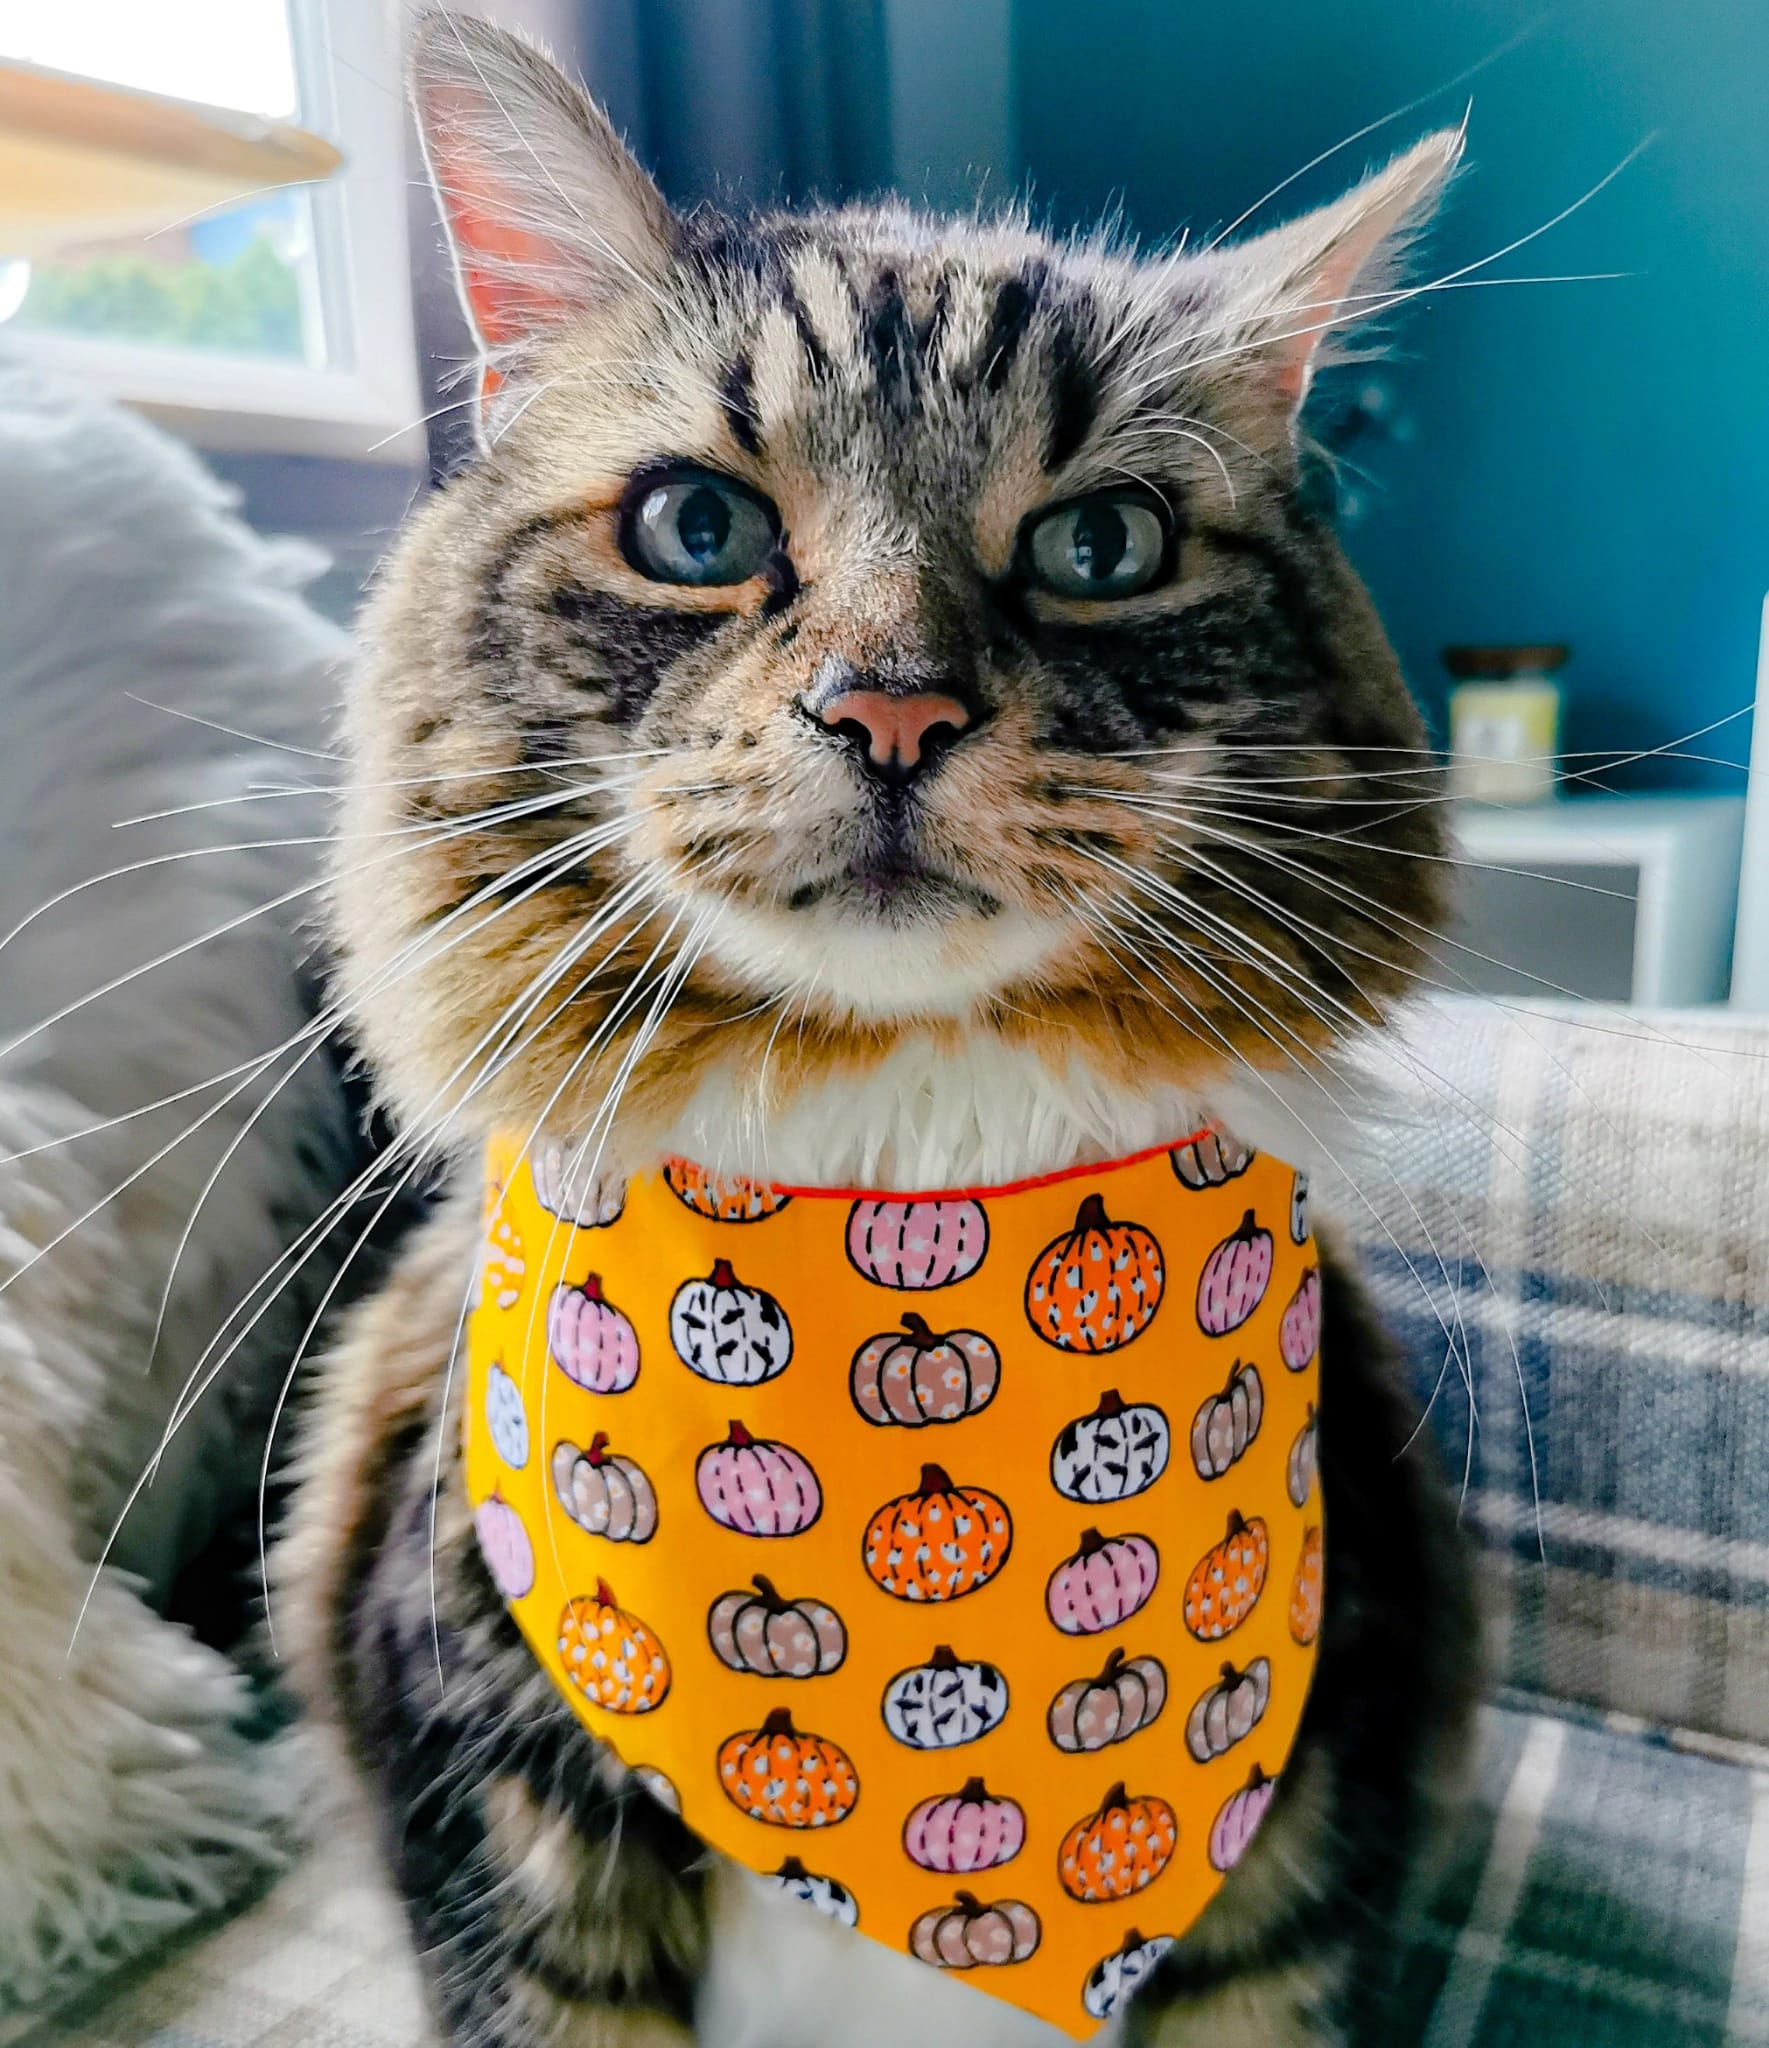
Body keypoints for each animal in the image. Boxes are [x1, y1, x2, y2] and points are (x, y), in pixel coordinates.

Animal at [282, 19, 1482, 2048]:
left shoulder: (1312, 1843)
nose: (893, 708)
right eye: (697, 525)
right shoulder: (499, 1837)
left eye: (1102, 543)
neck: (904, 1185)